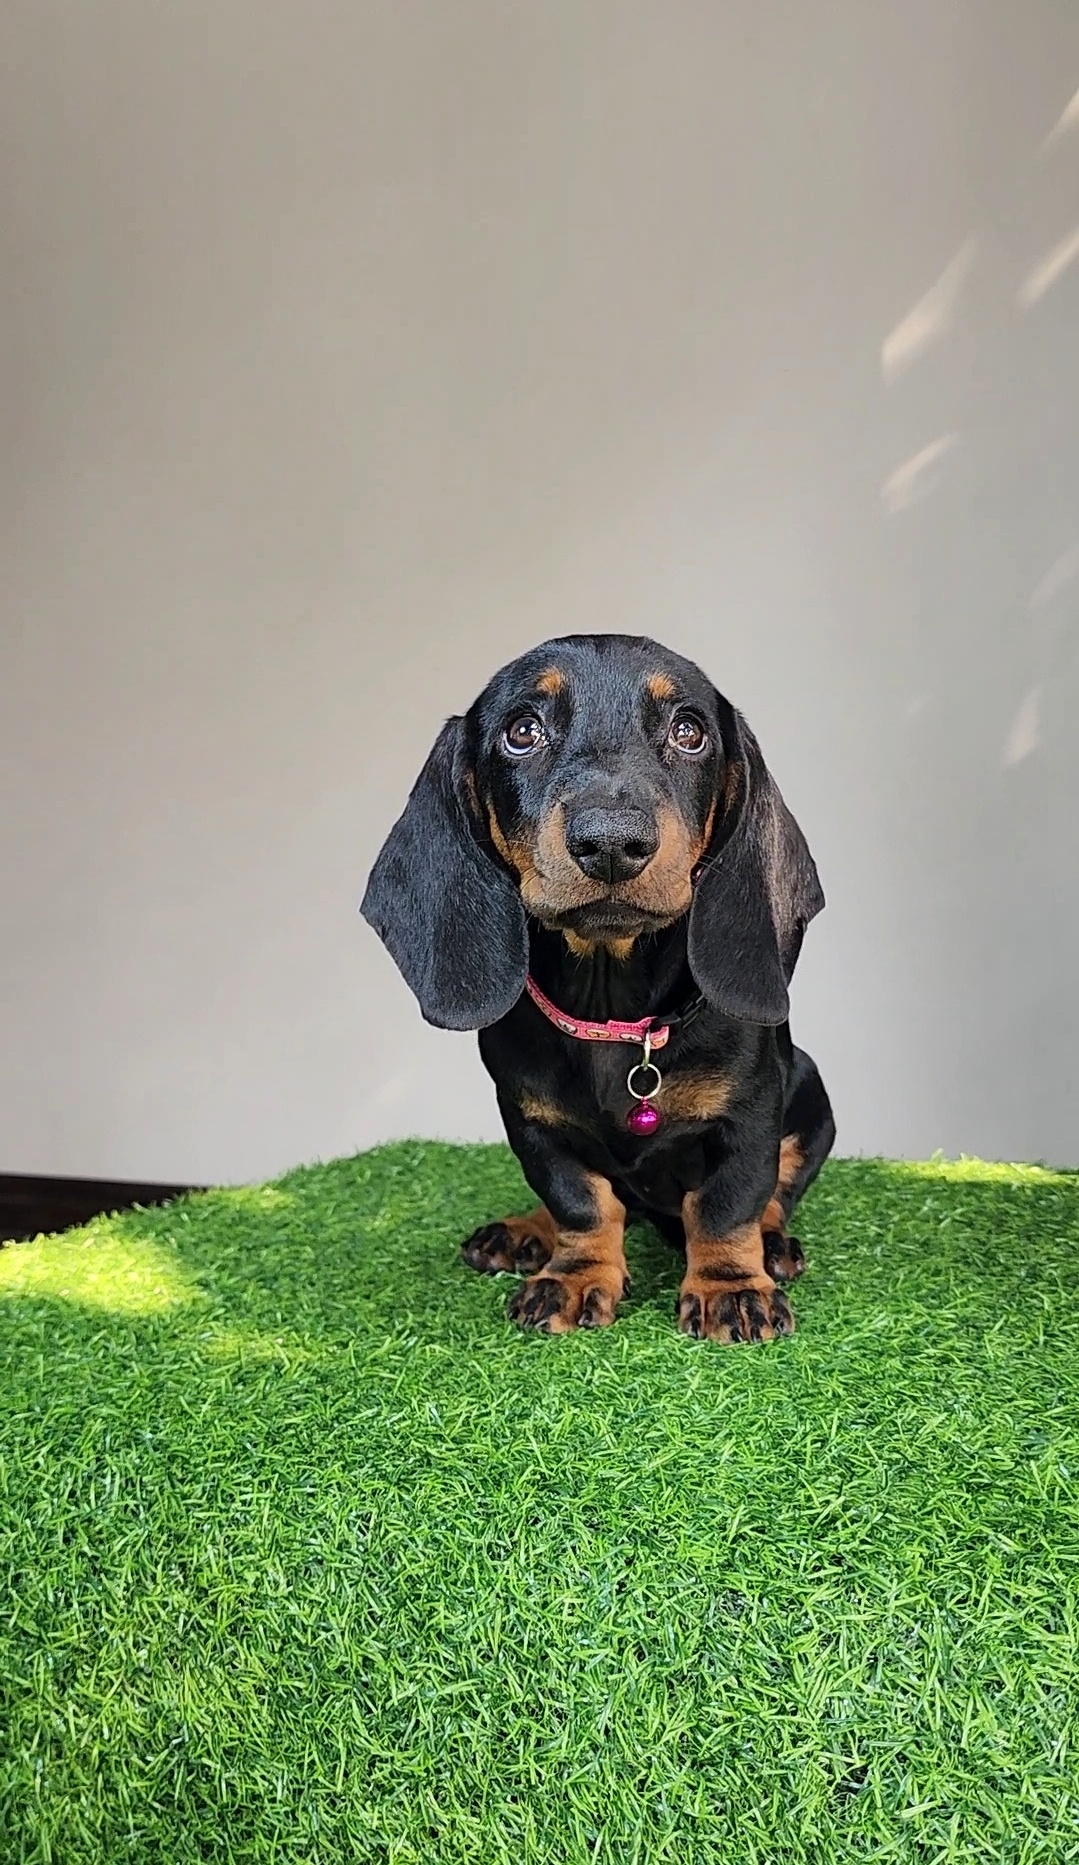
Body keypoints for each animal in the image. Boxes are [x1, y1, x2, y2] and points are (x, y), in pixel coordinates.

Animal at [361, 634, 835, 1342]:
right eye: (522, 732)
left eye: (689, 731)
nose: (612, 842)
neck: (614, 1012)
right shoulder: (532, 1122)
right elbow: (580, 1202)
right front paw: (575, 1275)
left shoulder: (750, 1115)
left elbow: (728, 1204)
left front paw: (730, 1287)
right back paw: (524, 1232)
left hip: (812, 1092)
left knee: (775, 1195)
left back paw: (773, 1246)